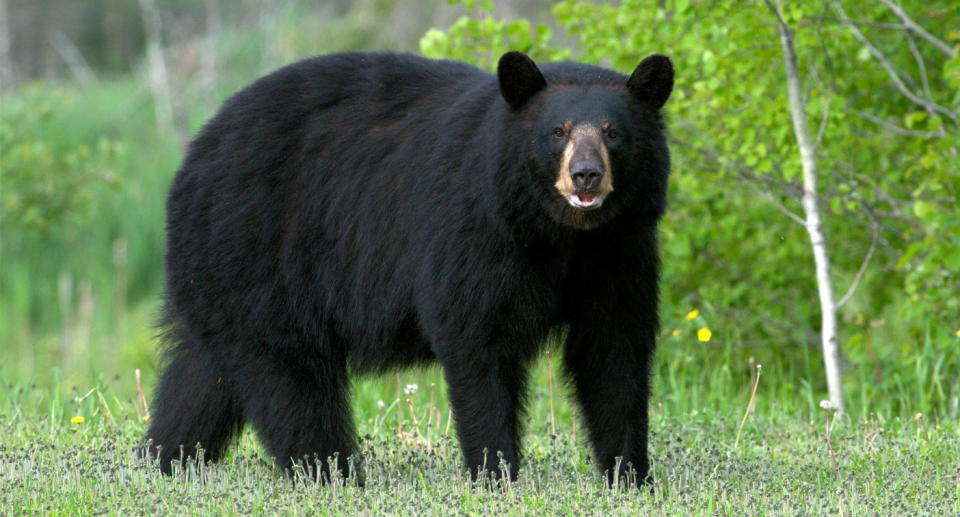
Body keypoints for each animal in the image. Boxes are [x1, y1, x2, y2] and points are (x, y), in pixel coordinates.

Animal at [148, 49, 676, 484]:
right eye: (558, 132)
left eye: (613, 133)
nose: (586, 174)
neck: (561, 235)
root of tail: (194, 155)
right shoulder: (474, 233)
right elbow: (477, 342)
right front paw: (495, 474)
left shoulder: (619, 252)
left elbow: (614, 352)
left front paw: (630, 476)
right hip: (261, 254)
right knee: (291, 380)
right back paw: (333, 474)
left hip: (219, 277)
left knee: (201, 377)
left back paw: (165, 460)